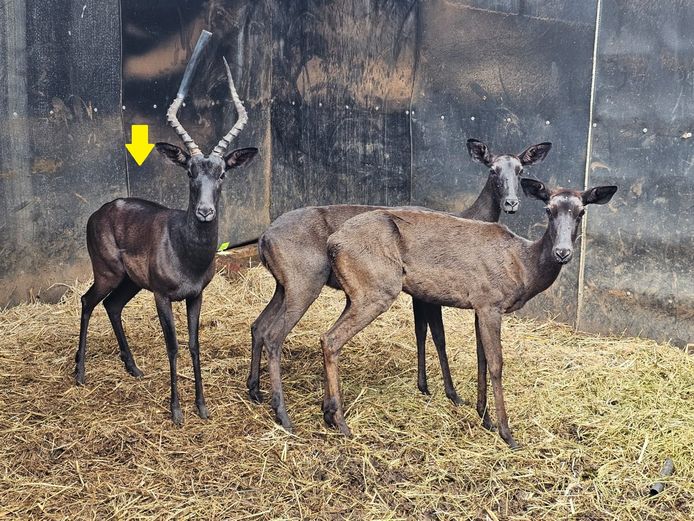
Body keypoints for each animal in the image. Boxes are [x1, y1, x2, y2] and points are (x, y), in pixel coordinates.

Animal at [74, 41, 258, 425]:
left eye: (222, 173)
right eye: (189, 172)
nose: (205, 212)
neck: (185, 250)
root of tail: (99, 211)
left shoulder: (195, 296)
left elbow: (194, 344)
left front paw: (202, 407)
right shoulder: (162, 296)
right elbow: (172, 346)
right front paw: (176, 411)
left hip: (129, 282)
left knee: (112, 306)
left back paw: (133, 368)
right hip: (108, 273)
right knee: (87, 301)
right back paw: (80, 372)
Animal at [249, 139, 552, 430]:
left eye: (520, 170)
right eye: (492, 170)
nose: (511, 203)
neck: (468, 217)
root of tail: (264, 239)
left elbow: (423, 333)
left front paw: (427, 387)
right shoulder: (428, 295)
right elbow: (437, 336)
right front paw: (451, 394)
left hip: (283, 287)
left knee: (259, 326)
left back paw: (255, 391)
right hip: (305, 283)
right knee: (276, 335)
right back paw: (285, 415)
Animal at [321, 179, 617, 448]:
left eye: (581, 211)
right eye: (548, 209)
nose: (562, 252)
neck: (524, 267)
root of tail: (333, 243)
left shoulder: (479, 305)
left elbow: (481, 358)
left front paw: (484, 417)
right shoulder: (490, 302)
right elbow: (496, 363)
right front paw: (506, 433)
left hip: (356, 292)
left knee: (325, 336)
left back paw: (327, 411)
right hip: (377, 288)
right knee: (332, 339)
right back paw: (342, 423)